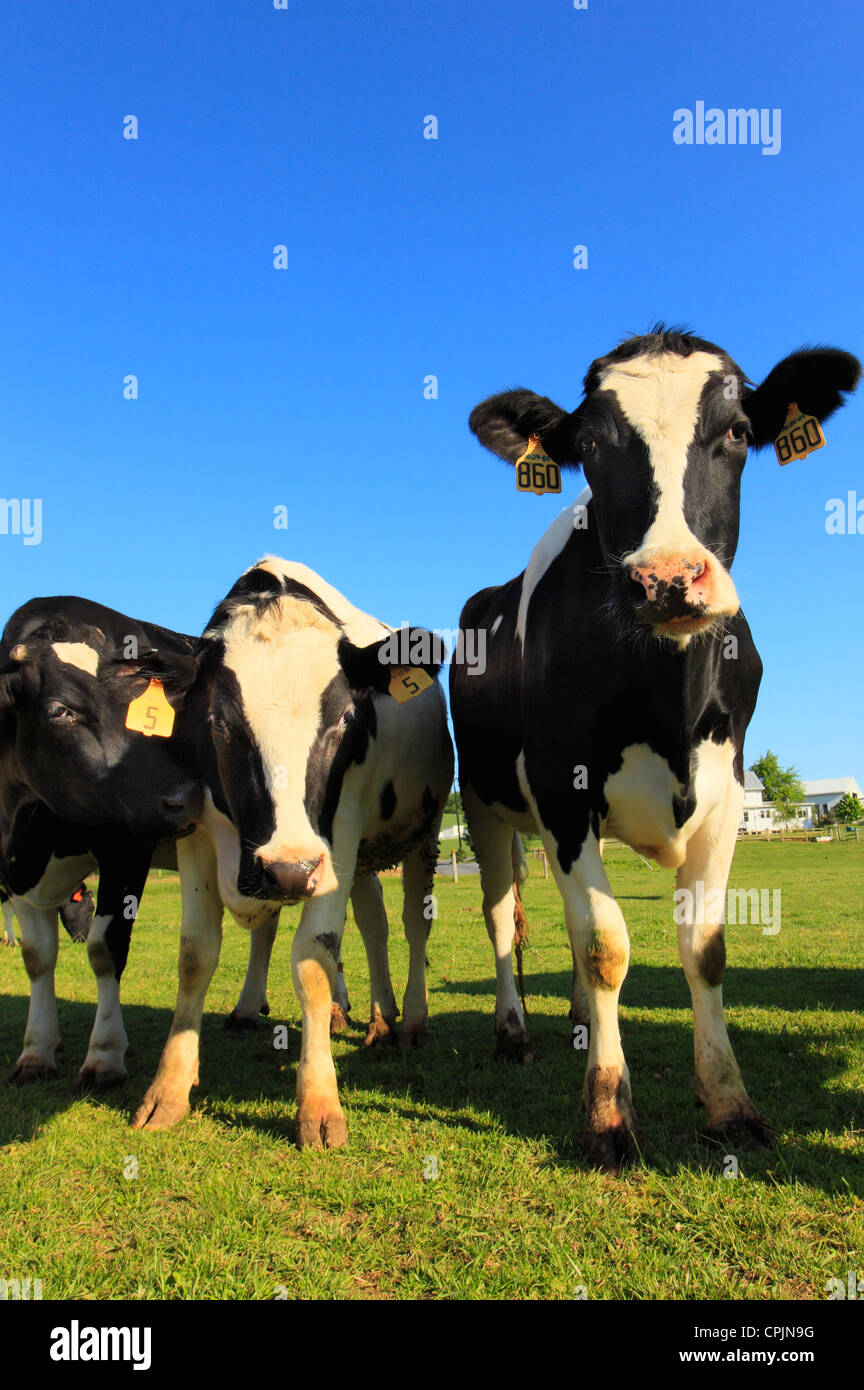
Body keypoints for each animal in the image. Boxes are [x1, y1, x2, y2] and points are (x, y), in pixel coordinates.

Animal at [0, 597, 202, 1084]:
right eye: (60, 711)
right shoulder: (14, 871)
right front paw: (37, 1050)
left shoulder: (126, 849)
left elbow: (105, 949)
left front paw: (106, 1054)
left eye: (146, 706)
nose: (185, 798)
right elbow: (37, 956)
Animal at [450, 325, 861, 1173]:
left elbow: (703, 950)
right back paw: (513, 1032)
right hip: (485, 800)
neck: (665, 695)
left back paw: (579, 1018)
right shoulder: (561, 790)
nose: (668, 579)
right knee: (503, 915)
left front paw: (730, 1106)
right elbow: (606, 944)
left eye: (736, 432)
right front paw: (608, 1116)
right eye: (591, 445)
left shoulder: (727, 791)